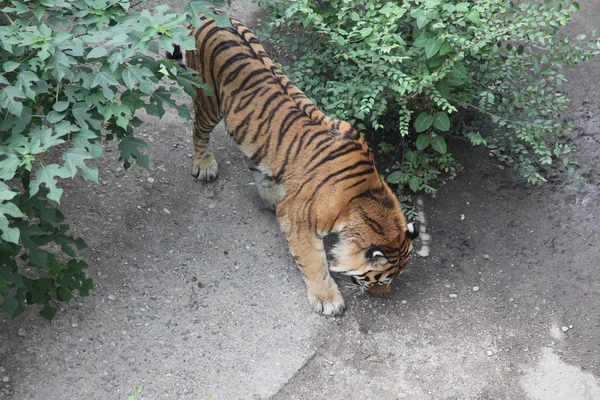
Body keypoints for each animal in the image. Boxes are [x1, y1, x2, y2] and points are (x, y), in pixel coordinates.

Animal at [168, 14, 422, 318]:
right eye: (380, 279)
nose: (381, 295)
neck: (364, 197)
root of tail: (205, 13)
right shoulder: (298, 218)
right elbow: (314, 261)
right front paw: (328, 300)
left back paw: (269, 197)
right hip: (207, 99)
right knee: (198, 131)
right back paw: (204, 166)